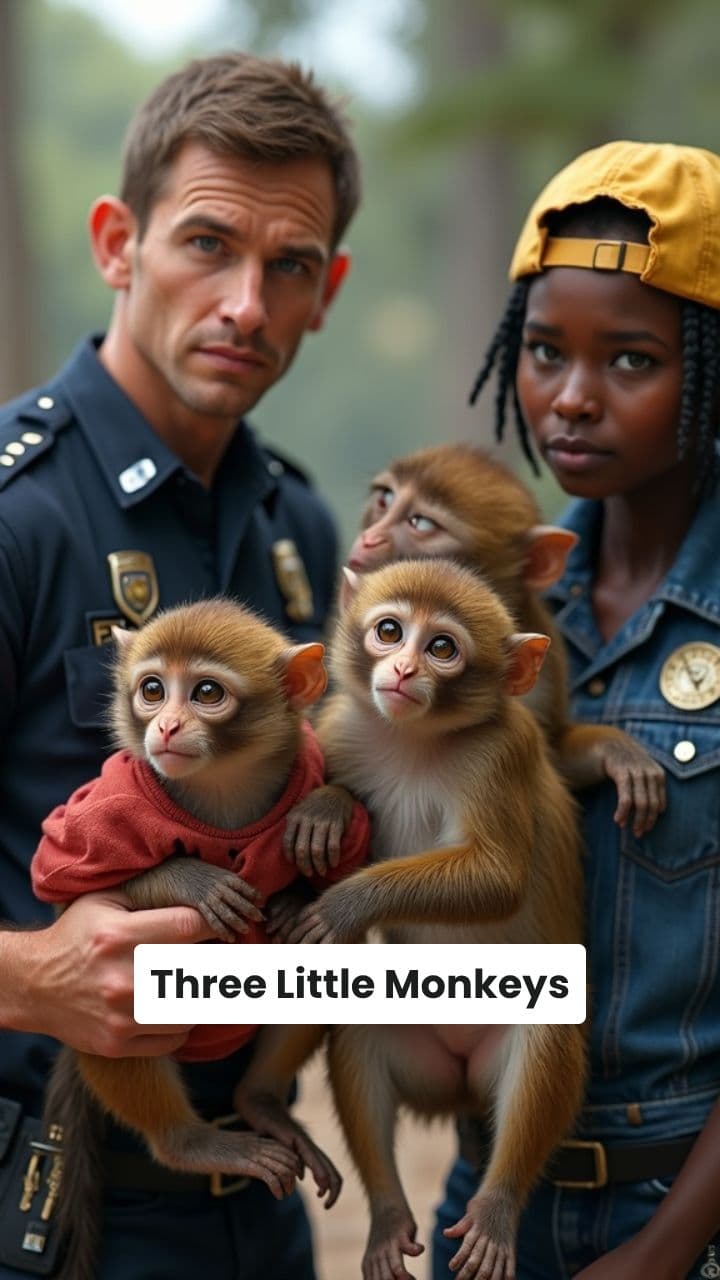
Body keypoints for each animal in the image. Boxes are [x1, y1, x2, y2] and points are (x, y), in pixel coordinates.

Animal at [30, 598, 370, 1280]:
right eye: (152, 689)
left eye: (206, 693)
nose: (164, 727)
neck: (223, 790)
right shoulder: (105, 808)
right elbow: (63, 887)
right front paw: (193, 878)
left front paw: (324, 815)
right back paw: (190, 1144)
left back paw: (261, 1101)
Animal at [234, 559, 587, 1280]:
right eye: (390, 631)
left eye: (442, 648)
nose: (400, 669)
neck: (412, 740)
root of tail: (458, 1085)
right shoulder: (342, 726)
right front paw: (329, 810)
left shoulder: (501, 751)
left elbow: (497, 880)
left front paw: (342, 905)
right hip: (421, 1054)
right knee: (358, 1024)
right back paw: (386, 1212)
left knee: (542, 1030)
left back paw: (496, 1207)